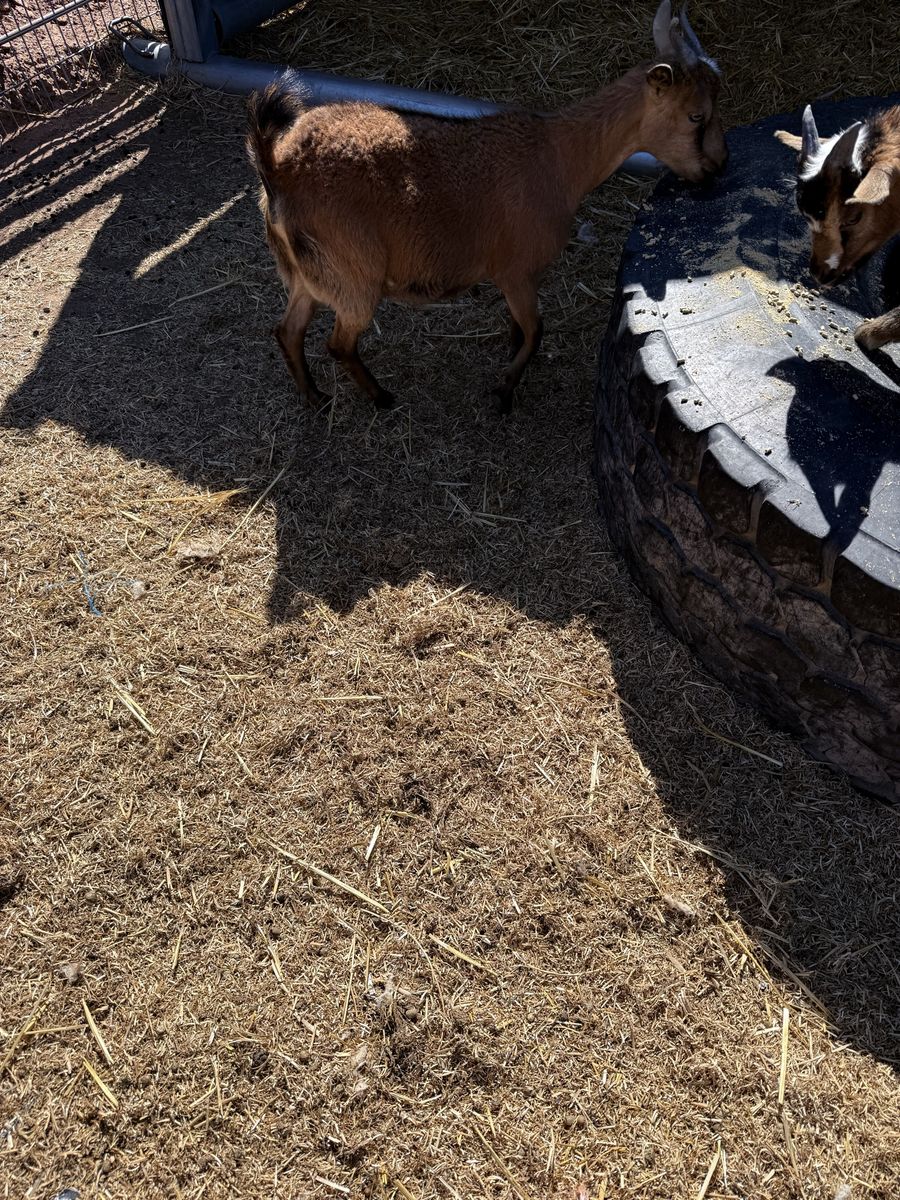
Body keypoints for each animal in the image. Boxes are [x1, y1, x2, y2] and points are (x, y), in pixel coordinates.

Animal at [246, 1, 727, 414]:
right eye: (696, 116)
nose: (718, 166)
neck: (558, 159)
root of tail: (277, 167)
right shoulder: (514, 269)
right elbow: (536, 331)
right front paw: (504, 390)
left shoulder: (520, 275)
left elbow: (520, 328)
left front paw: (508, 366)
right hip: (355, 275)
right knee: (338, 343)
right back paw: (381, 398)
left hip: (309, 274)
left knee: (288, 331)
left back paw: (313, 396)